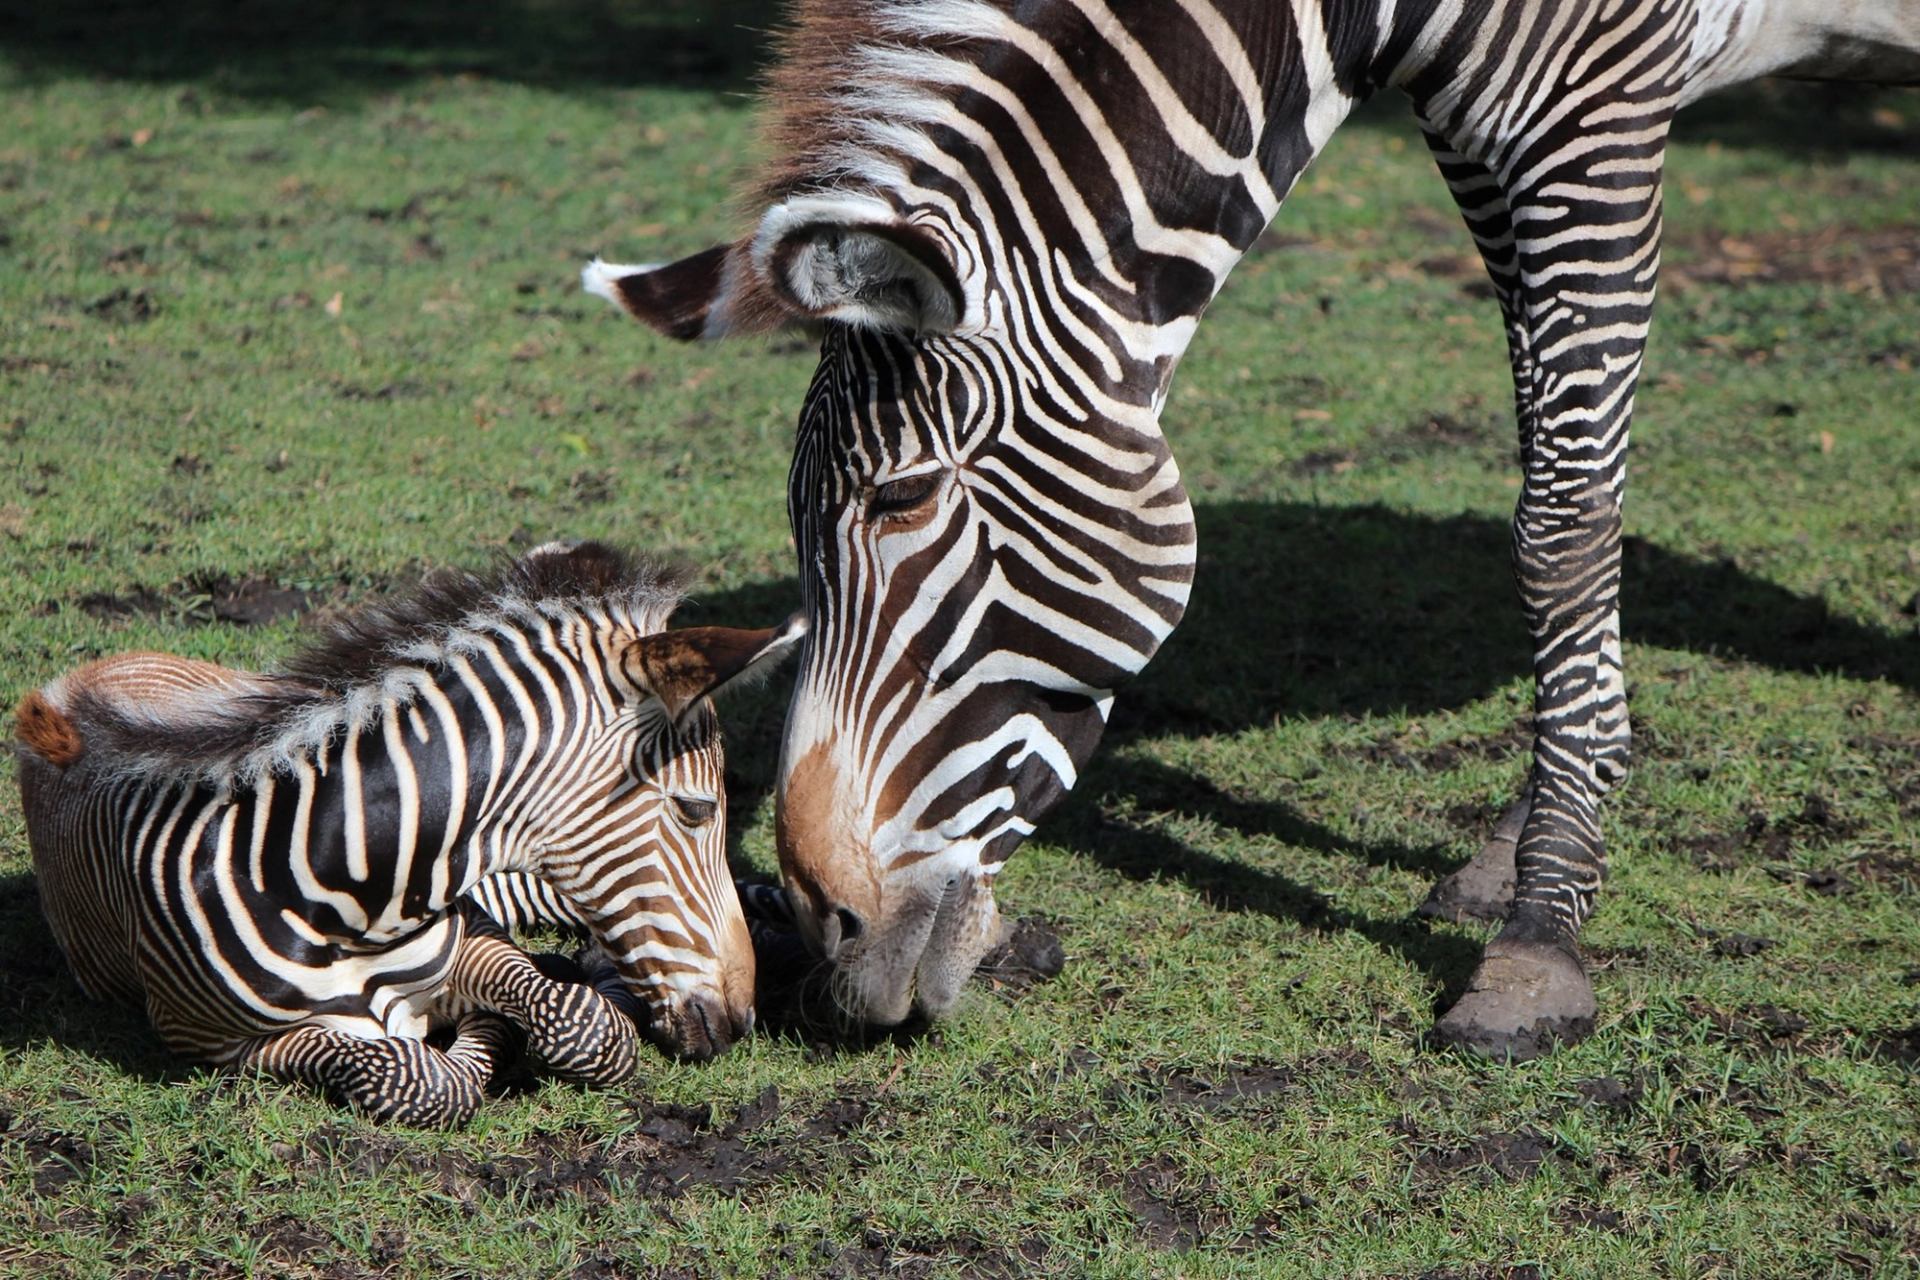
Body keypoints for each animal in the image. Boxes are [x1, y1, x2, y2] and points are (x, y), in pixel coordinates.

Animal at [13, 542, 800, 1124]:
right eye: (695, 810)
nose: (742, 1020)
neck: (350, 894)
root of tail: (99, 665)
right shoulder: (209, 1041)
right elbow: (422, 1080)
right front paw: (479, 1045)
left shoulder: (474, 937)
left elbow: (582, 1024)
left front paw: (518, 1018)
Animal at [584, 1, 1920, 1058]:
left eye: (902, 499)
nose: (824, 934)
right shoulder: (1491, 117)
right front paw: (1536, 834)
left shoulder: (1591, 93)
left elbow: (1563, 513)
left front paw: (1542, 923)